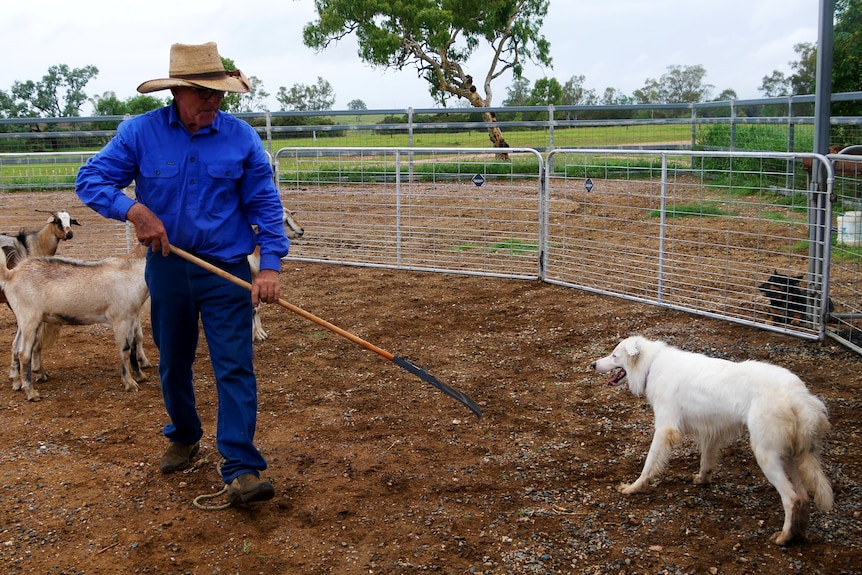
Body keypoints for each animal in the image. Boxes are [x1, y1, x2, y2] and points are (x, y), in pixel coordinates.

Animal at [1, 245, 150, 402]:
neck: (131, 277)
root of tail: (11, 274)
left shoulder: (131, 318)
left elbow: (133, 344)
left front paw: (139, 376)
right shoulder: (121, 320)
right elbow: (125, 350)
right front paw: (129, 383)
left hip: (24, 321)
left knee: (15, 347)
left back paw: (17, 382)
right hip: (30, 318)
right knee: (24, 353)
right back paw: (31, 392)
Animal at [592, 336, 832, 548]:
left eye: (614, 355)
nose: (593, 364)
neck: (652, 364)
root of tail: (799, 396)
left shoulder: (664, 429)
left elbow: (649, 464)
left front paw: (634, 487)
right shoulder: (711, 431)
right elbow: (706, 461)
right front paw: (702, 480)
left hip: (767, 455)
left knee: (791, 498)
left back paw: (783, 537)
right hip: (790, 456)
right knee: (803, 497)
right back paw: (797, 534)